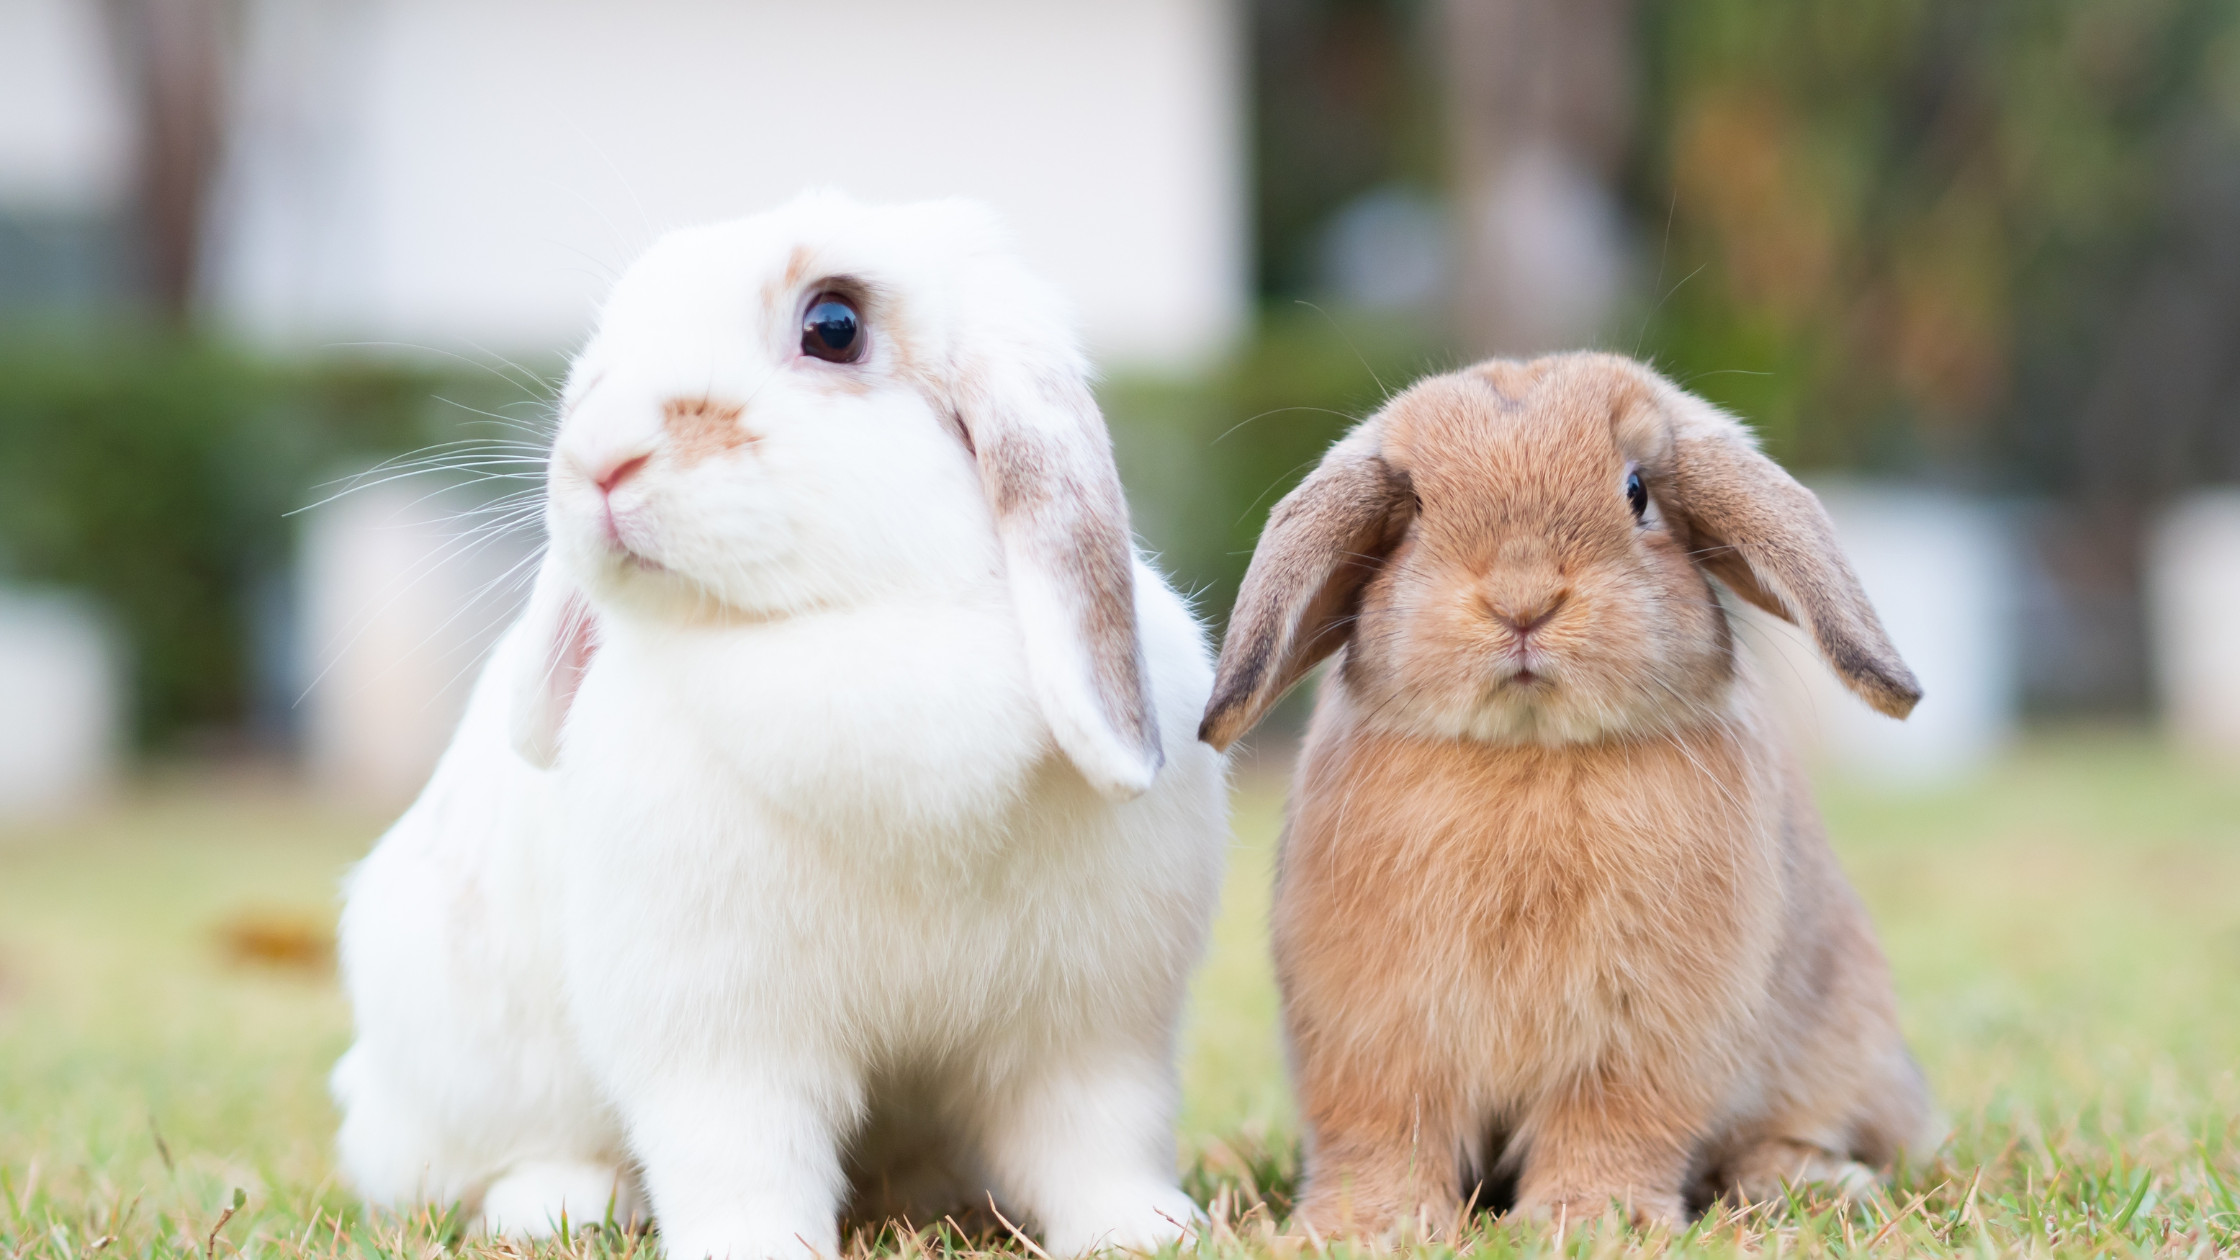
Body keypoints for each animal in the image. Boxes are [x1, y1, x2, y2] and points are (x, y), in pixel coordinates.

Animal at [332, 191, 1230, 1259]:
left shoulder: (1088, 1027)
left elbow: (1096, 1141)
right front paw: (750, 1246)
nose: (597, 461)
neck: (847, 629)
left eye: (833, 326)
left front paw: (1147, 1231)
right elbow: (740, 1157)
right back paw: (557, 1204)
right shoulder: (719, 1033)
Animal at [1197, 352, 1939, 1235]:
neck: (1530, 751)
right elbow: (1383, 1134)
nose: (1522, 601)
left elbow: (1610, 1127)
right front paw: (1368, 1226)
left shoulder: (1639, 1040)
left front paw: (1587, 1221)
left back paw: (1812, 1179)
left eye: (1637, 492)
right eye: (1416, 508)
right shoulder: (1375, 1039)